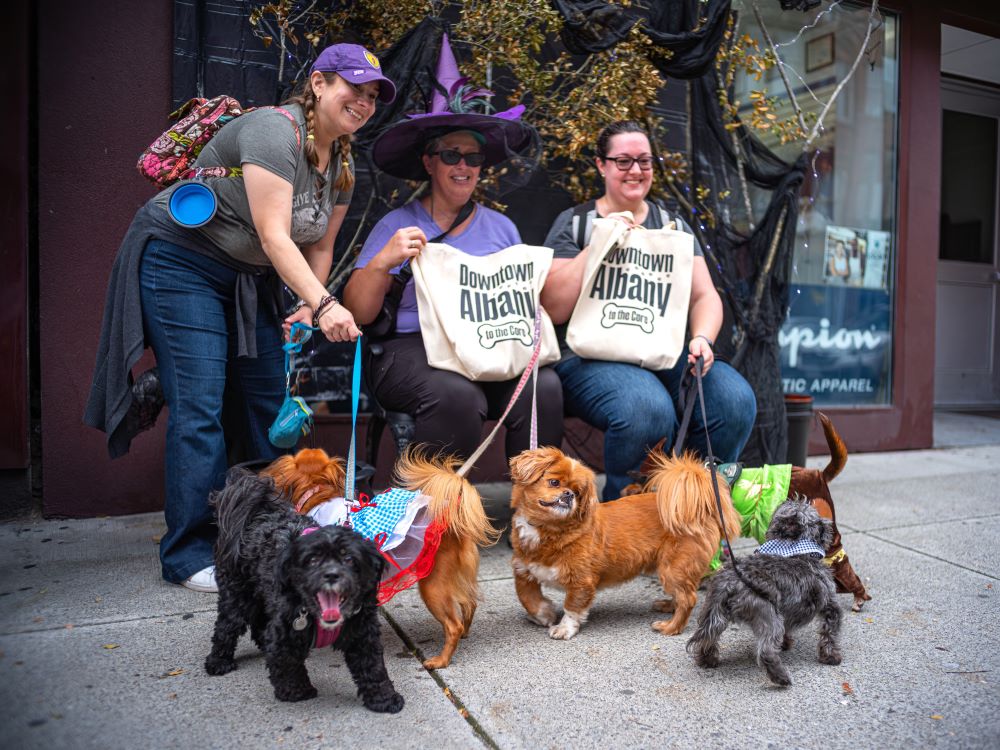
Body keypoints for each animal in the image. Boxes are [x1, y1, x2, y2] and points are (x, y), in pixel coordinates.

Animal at [205, 470, 404, 716]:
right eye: (312, 560)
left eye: (349, 558)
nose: (331, 575)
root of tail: (257, 514)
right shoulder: (286, 629)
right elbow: (287, 661)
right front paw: (296, 691)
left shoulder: (362, 634)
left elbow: (373, 668)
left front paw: (383, 698)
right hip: (237, 597)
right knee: (226, 627)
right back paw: (218, 661)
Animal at [266, 446, 500, 668]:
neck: (318, 492)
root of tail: (449, 518)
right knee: (469, 604)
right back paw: (464, 634)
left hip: (434, 587)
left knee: (453, 625)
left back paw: (441, 660)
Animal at [512, 446, 740, 640]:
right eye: (554, 483)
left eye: (577, 493)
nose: (568, 495)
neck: (549, 530)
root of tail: (703, 508)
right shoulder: (523, 571)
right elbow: (527, 597)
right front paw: (544, 614)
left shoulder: (581, 582)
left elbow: (572, 607)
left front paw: (563, 628)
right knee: (683, 594)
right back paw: (668, 606)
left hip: (674, 568)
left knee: (688, 598)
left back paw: (671, 627)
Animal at [684, 500, 840, 688]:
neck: (797, 550)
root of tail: (734, 579)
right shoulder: (830, 606)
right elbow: (829, 633)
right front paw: (831, 657)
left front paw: (786, 643)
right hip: (768, 616)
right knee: (766, 650)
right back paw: (780, 677)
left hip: (714, 612)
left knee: (706, 637)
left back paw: (707, 660)